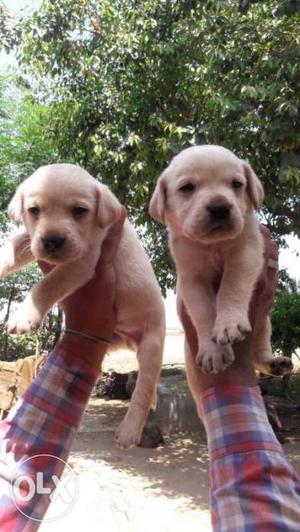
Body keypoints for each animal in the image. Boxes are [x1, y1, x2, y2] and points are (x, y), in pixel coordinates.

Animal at [0, 164, 164, 446]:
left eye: (79, 210)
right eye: (34, 210)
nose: (52, 241)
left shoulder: (82, 262)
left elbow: (47, 284)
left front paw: (24, 315)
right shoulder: (31, 239)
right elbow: (10, 249)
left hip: (152, 345)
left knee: (143, 389)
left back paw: (129, 430)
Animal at [150, 145, 290, 376]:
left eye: (237, 184)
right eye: (187, 188)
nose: (220, 207)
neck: (212, 244)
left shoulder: (246, 252)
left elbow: (231, 286)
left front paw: (229, 323)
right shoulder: (191, 278)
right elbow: (204, 312)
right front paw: (213, 351)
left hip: (265, 322)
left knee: (259, 349)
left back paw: (275, 363)